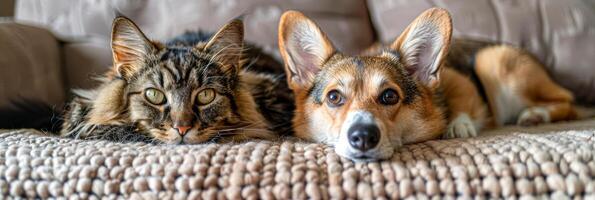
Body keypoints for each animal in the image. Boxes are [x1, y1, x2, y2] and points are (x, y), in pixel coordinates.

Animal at [280, 8, 576, 162]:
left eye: (389, 96)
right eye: (334, 97)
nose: (363, 137)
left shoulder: (458, 79)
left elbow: (461, 103)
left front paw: (458, 125)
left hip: (493, 61)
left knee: (568, 101)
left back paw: (535, 114)